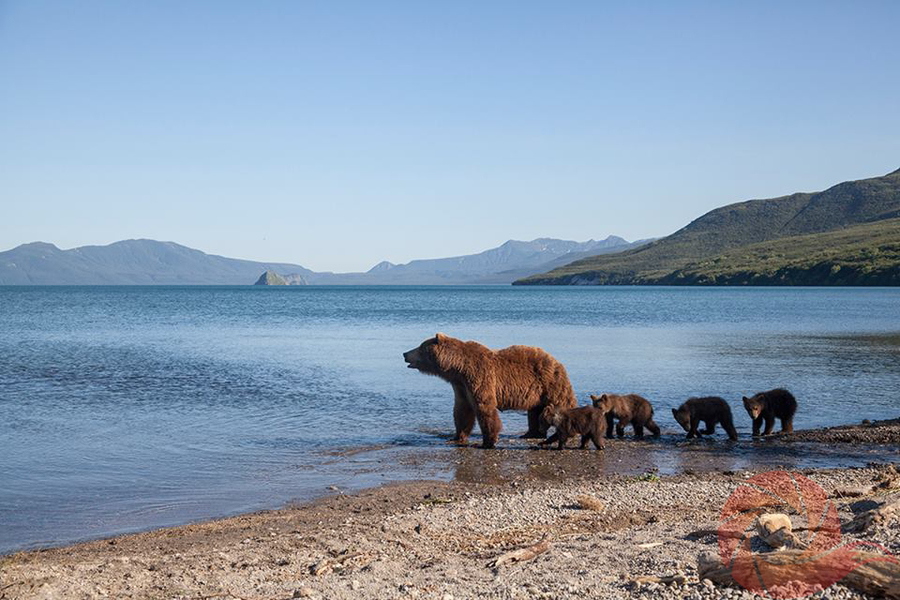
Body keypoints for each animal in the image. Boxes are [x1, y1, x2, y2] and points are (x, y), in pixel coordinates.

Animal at [402, 336, 576, 448]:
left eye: (420, 347)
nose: (404, 353)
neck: (457, 368)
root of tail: (557, 362)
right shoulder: (460, 386)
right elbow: (462, 411)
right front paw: (456, 437)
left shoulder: (479, 376)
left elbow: (484, 407)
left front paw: (488, 441)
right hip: (537, 392)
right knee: (534, 411)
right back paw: (531, 433)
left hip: (550, 383)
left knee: (562, 403)